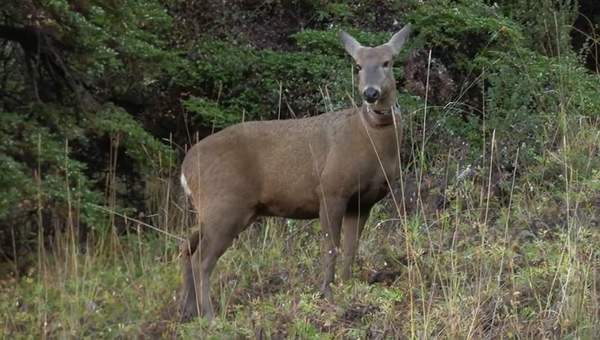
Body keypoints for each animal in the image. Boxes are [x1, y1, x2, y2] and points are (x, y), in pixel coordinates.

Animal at [179, 25, 412, 320]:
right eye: (358, 66)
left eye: (387, 62)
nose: (370, 93)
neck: (371, 141)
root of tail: (185, 169)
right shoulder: (331, 189)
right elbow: (330, 247)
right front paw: (326, 292)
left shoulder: (363, 201)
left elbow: (351, 248)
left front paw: (347, 285)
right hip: (225, 205)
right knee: (202, 259)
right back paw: (210, 316)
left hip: (213, 211)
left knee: (187, 248)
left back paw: (187, 311)